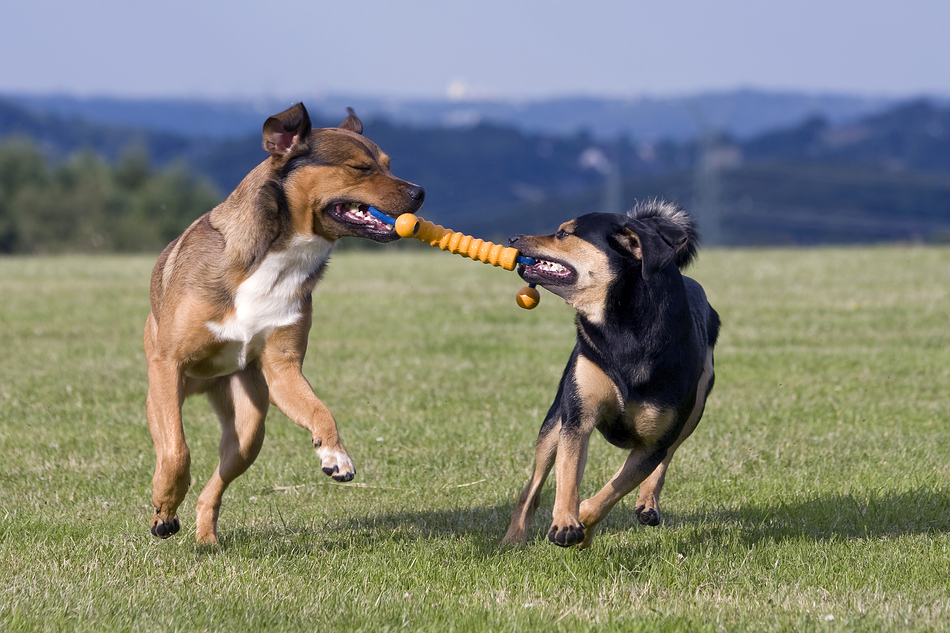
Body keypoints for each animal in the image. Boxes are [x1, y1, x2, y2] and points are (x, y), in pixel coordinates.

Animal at [143, 102, 426, 544]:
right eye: (360, 168)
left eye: (388, 164)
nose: (420, 193)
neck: (279, 253)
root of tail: (205, 384)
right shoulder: (168, 364)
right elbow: (177, 452)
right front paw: (164, 506)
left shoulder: (282, 367)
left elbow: (320, 410)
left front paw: (335, 456)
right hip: (160, 394)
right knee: (167, 446)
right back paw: (165, 512)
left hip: (248, 430)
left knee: (215, 487)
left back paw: (207, 538)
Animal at [502, 201, 716, 548]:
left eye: (563, 234)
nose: (512, 237)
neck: (622, 329)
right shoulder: (577, 415)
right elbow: (567, 476)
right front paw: (565, 522)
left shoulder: (655, 440)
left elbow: (610, 493)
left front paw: (583, 526)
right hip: (555, 418)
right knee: (532, 488)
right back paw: (513, 540)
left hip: (694, 408)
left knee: (667, 457)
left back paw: (647, 504)